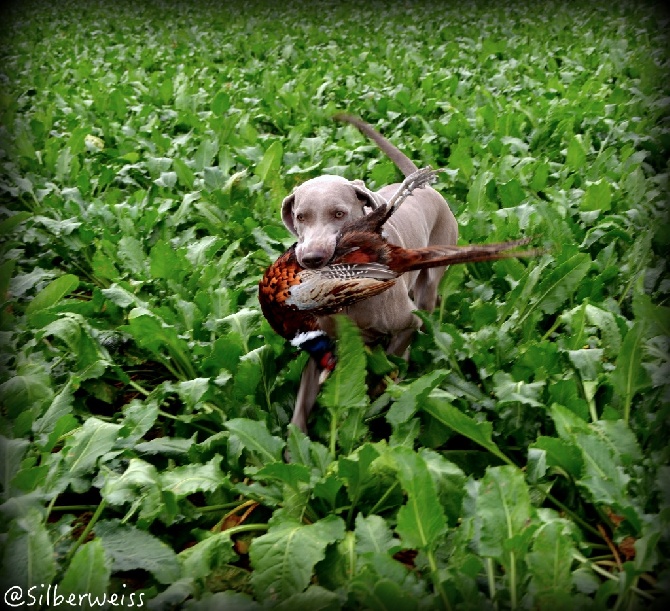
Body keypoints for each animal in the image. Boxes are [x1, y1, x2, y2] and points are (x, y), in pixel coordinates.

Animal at [280, 112, 460, 432]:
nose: (311, 258)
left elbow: (390, 364)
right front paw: (295, 442)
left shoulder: (407, 323)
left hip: (432, 274)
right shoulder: (324, 345)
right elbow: (301, 410)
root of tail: (424, 186)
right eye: (301, 217)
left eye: (339, 213)